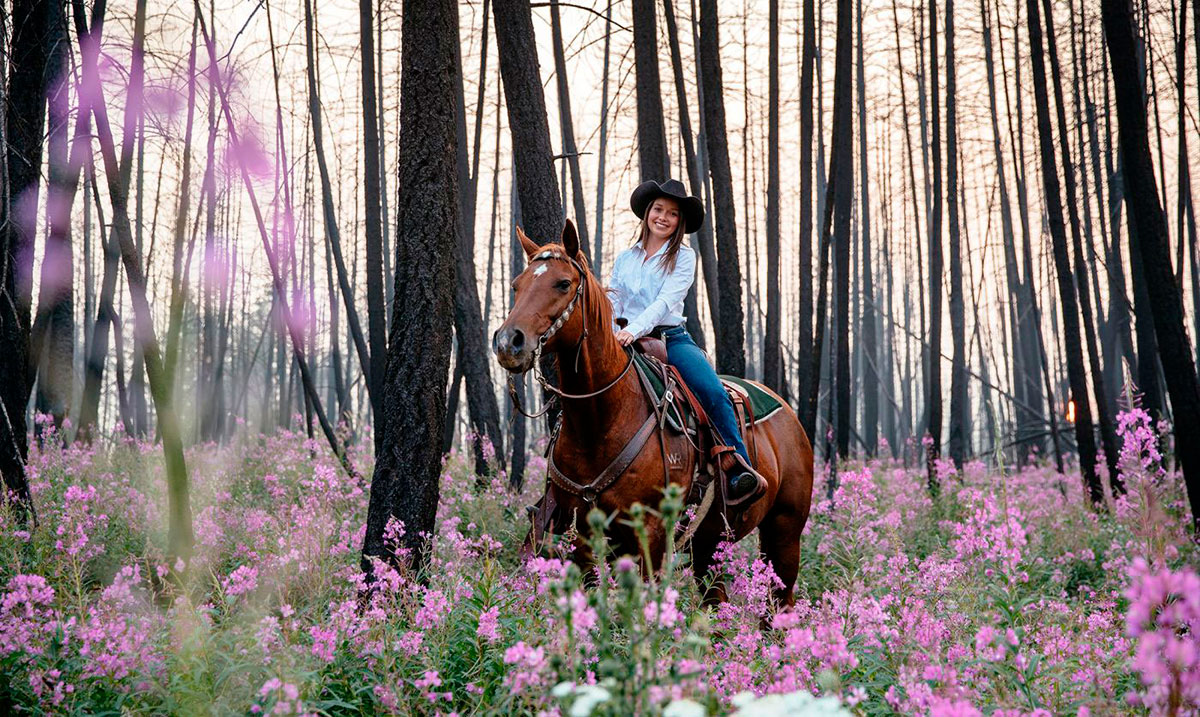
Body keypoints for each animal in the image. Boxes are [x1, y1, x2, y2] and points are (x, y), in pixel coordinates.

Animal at [492, 220, 811, 606]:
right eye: (517, 285)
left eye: (563, 283)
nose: (508, 343)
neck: (599, 422)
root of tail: (790, 416)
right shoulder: (581, 537)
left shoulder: (652, 534)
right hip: (709, 545)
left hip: (784, 532)